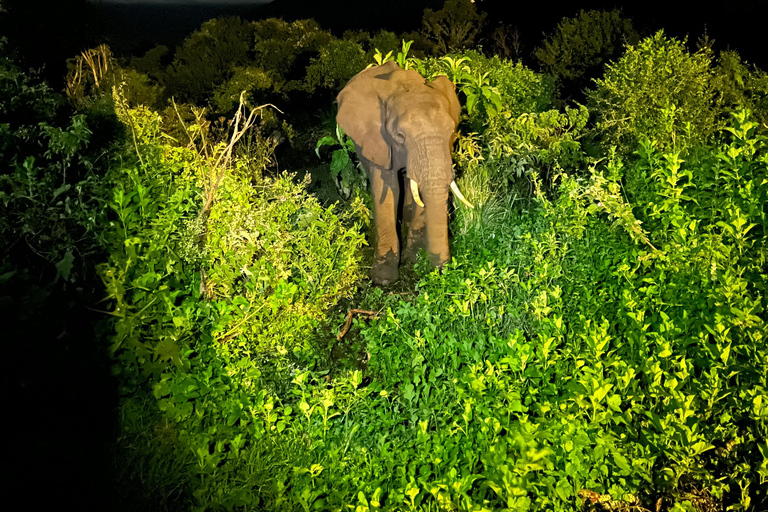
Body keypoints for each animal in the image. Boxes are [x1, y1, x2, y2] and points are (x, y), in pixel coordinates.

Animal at [338, 62, 474, 286]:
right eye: (400, 136)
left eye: (452, 133)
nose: (442, 271)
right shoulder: (379, 141)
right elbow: (387, 187)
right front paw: (384, 279)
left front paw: (414, 260)